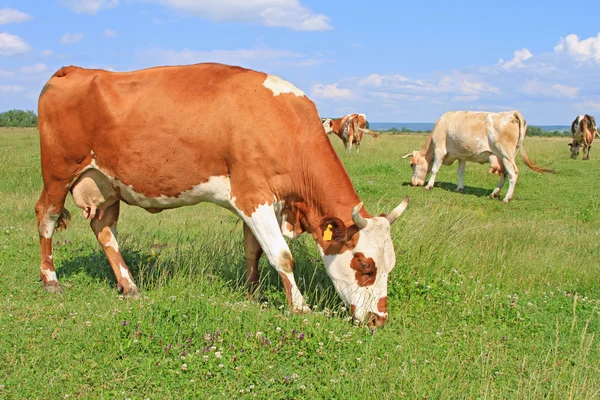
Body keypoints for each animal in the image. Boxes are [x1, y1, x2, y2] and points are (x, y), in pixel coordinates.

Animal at [37, 63, 410, 328]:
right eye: (365, 265)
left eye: (390, 266)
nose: (379, 320)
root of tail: (74, 70)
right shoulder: (252, 196)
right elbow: (282, 256)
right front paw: (300, 307)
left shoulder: (262, 200)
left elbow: (254, 251)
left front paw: (254, 295)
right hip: (58, 173)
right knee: (46, 217)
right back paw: (51, 281)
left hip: (107, 184)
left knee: (104, 230)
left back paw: (128, 286)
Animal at [404, 109, 552, 203]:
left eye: (412, 164)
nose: (413, 183)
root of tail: (511, 113)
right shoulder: (462, 155)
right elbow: (461, 172)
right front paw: (460, 188)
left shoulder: (439, 149)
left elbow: (435, 169)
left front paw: (429, 186)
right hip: (504, 157)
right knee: (505, 174)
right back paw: (494, 193)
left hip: (506, 155)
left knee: (513, 174)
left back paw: (506, 198)